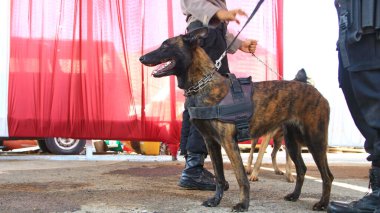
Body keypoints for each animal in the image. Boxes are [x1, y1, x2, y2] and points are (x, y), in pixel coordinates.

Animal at [140, 27, 332, 211]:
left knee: (327, 176)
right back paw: (295, 196)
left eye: (165, 45)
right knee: (302, 169)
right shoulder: (211, 142)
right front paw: (216, 200)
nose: (141, 58)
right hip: (292, 142)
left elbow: (241, 177)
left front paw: (243, 204)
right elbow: (219, 177)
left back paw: (322, 204)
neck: (204, 85)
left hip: (315, 141)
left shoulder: (229, 142)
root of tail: (314, 90)